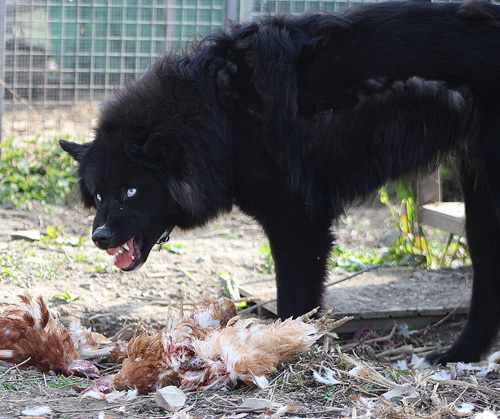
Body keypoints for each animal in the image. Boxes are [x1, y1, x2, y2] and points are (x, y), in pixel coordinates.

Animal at [60, 0, 500, 368]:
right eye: (98, 194)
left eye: (131, 191)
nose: (99, 237)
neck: (220, 113)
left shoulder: (298, 220)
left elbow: (293, 301)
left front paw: (284, 349)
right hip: (479, 200)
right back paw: (460, 355)